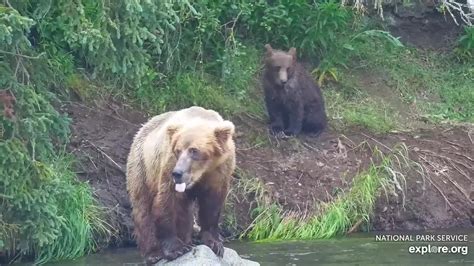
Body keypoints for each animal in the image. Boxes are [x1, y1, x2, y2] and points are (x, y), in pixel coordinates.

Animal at [127, 106, 236, 264]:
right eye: (178, 150)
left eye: (194, 150)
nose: (177, 173)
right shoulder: (168, 165)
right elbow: (167, 201)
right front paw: (176, 249)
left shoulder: (220, 171)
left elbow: (211, 205)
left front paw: (215, 243)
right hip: (141, 166)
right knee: (143, 208)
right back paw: (153, 253)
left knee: (185, 212)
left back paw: (187, 241)